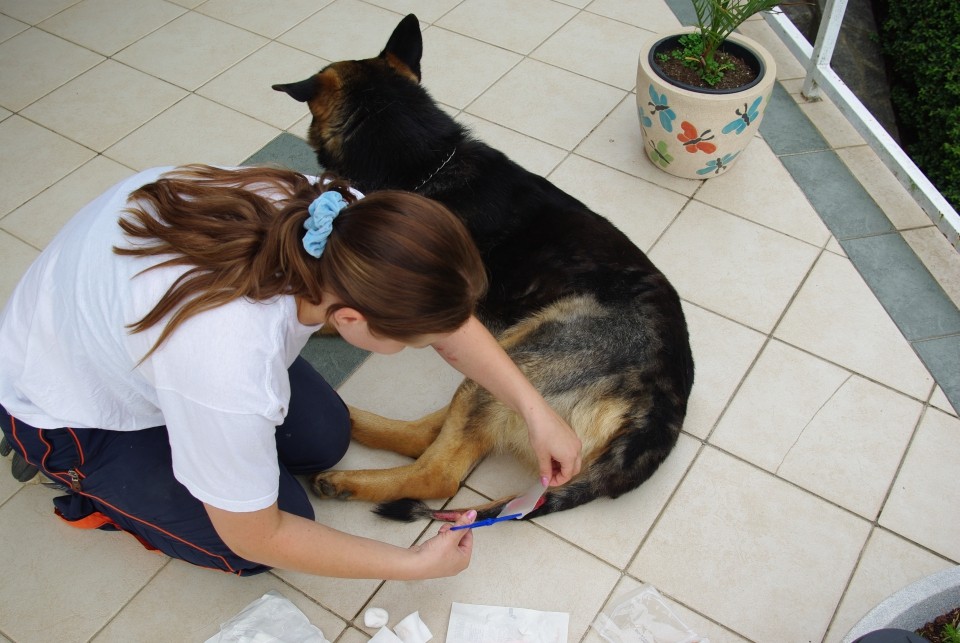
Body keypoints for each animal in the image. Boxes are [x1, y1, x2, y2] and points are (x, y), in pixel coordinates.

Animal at [274, 13, 692, 524]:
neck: (428, 164)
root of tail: (660, 412)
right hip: (506, 363)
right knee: (429, 436)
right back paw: (351, 421)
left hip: (517, 359)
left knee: (438, 472)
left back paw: (350, 475)